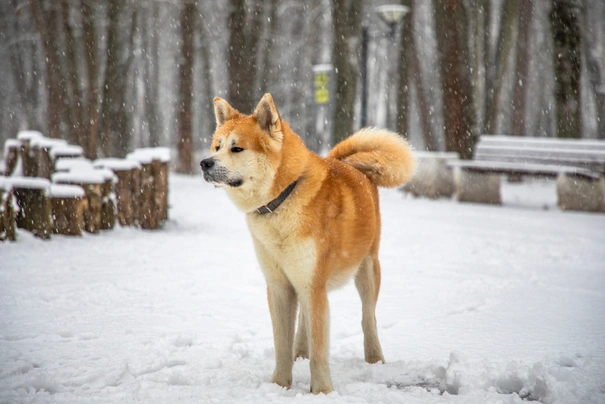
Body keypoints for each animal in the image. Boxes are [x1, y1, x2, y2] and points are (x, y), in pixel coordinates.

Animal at [201, 93, 412, 392]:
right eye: (217, 146)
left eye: (237, 148)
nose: (205, 163)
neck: (284, 198)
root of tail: (350, 163)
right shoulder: (279, 285)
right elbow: (281, 343)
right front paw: (279, 385)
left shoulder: (314, 285)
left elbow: (320, 345)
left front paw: (322, 390)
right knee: (303, 322)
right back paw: (300, 352)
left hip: (367, 268)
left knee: (368, 317)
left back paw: (374, 359)